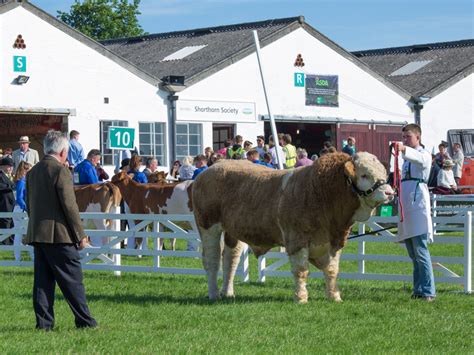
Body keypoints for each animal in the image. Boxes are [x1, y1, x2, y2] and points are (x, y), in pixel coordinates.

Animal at [191, 152, 394, 304]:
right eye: (364, 175)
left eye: (384, 174)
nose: (390, 193)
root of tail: (211, 168)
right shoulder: (297, 239)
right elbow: (301, 271)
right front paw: (301, 298)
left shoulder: (334, 241)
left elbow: (332, 270)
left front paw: (334, 296)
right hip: (208, 225)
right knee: (212, 261)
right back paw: (214, 294)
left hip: (233, 232)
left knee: (230, 260)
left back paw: (228, 293)